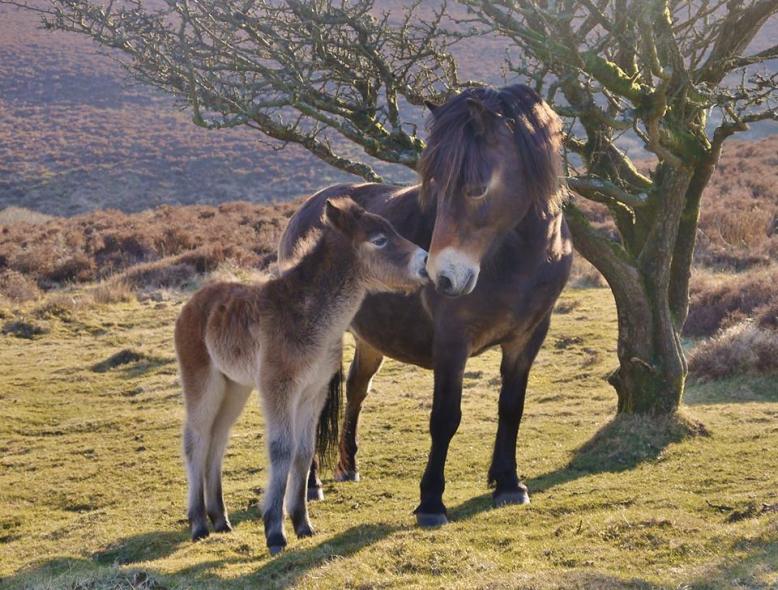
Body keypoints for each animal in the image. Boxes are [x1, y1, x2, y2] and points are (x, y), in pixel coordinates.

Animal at [175, 198, 428, 553]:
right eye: (380, 240)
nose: (426, 262)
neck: (308, 314)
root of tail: (192, 303)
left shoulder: (313, 391)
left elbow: (305, 450)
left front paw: (302, 523)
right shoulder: (279, 387)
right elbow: (282, 448)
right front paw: (274, 531)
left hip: (234, 386)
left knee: (218, 438)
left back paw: (220, 519)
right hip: (203, 381)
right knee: (196, 440)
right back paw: (199, 523)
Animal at [279, 84, 572, 527]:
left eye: (477, 187)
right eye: (434, 187)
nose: (442, 277)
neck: (517, 259)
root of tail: (313, 206)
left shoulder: (529, 337)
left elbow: (511, 407)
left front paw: (508, 484)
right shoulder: (452, 343)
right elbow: (445, 419)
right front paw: (431, 502)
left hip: (369, 341)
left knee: (356, 388)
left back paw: (348, 466)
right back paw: (311, 484)